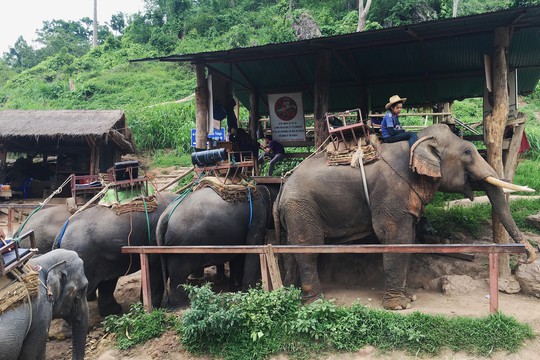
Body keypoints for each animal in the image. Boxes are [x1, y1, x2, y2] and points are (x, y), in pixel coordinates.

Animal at [276, 124, 536, 310]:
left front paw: (410, 297)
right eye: (468, 152)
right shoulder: (391, 191)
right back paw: (316, 302)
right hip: (301, 207)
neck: (418, 141)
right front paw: (398, 306)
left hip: (296, 212)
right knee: (308, 249)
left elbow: (409, 239)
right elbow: (394, 237)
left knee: (292, 249)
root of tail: (281, 189)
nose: (528, 257)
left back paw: (290, 291)